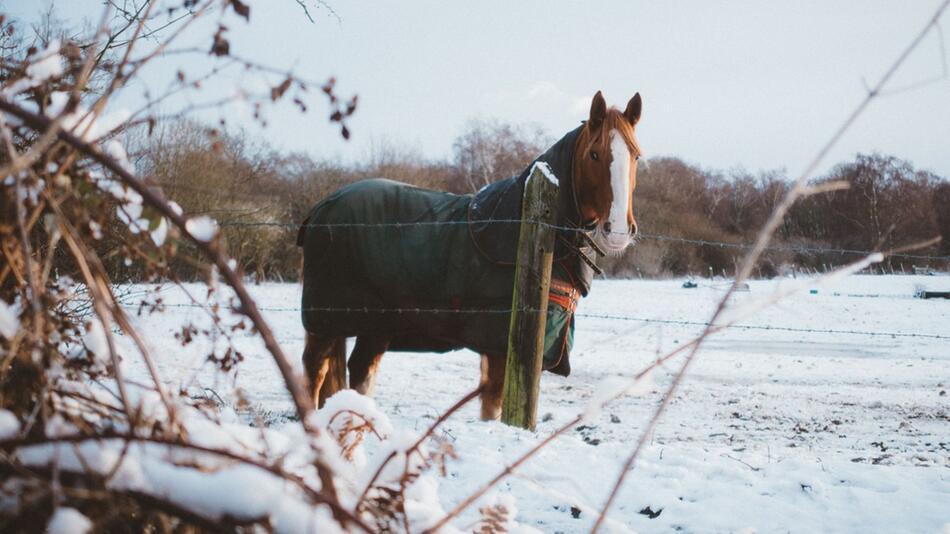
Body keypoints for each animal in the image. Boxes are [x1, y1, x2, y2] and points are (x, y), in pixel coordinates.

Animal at [296, 91, 640, 418]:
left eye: (636, 155)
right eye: (594, 154)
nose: (619, 230)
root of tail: (321, 208)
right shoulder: (500, 347)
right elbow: (494, 410)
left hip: (374, 326)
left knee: (360, 373)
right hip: (325, 321)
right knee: (314, 371)